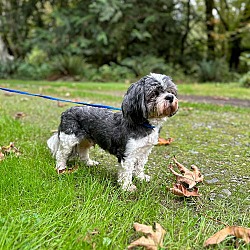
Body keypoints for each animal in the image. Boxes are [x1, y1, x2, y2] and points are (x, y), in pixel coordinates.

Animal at [47, 73, 178, 191]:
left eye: (170, 91)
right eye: (155, 93)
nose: (170, 97)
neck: (143, 123)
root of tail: (66, 111)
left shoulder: (144, 151)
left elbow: (140, 166)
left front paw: (141, 177)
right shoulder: (127, 154)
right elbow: (127, 171)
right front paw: (127, 186)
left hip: (86, 140)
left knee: (83, 151)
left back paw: (89, 163)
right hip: (68, 139)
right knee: (61, 154)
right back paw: (61, 167)